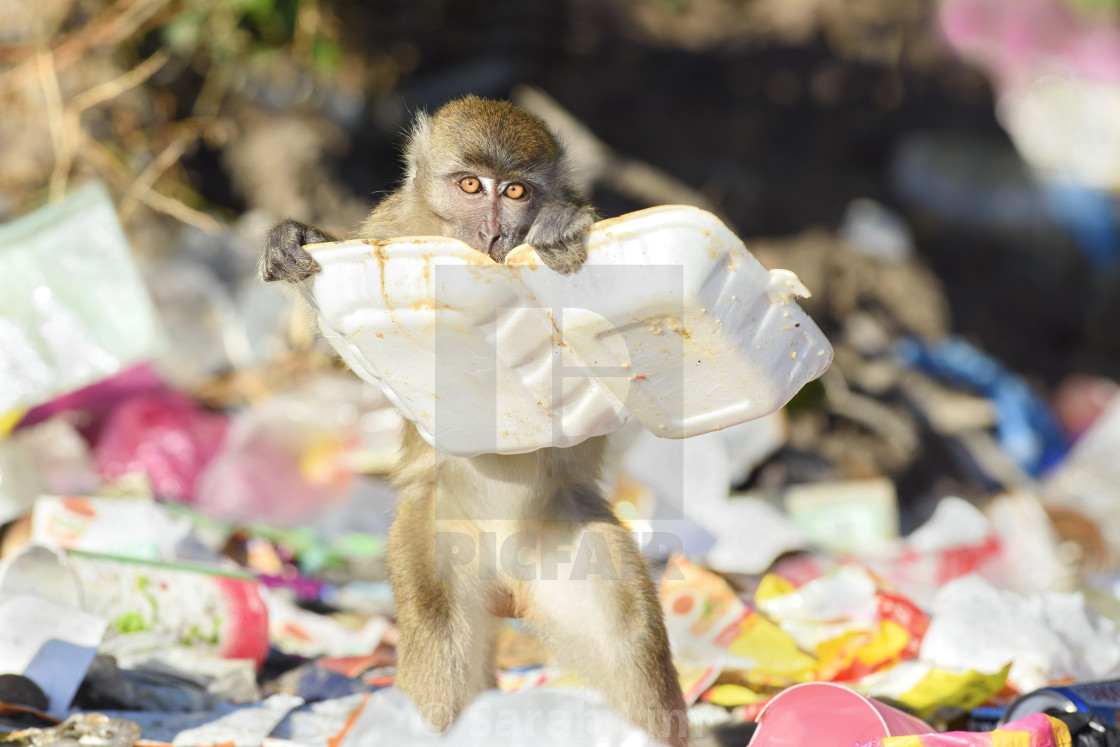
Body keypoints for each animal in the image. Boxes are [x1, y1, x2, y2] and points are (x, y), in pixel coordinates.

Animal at [260, 96, 685, 743]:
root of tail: (510, 582)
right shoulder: (388, 228)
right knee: (438, 646)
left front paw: (558, 230)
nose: (493, 232)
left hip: (575, 542)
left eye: (514, 191)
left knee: (632, 648)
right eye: (469, 185)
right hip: (432, 536)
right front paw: (294, 242)